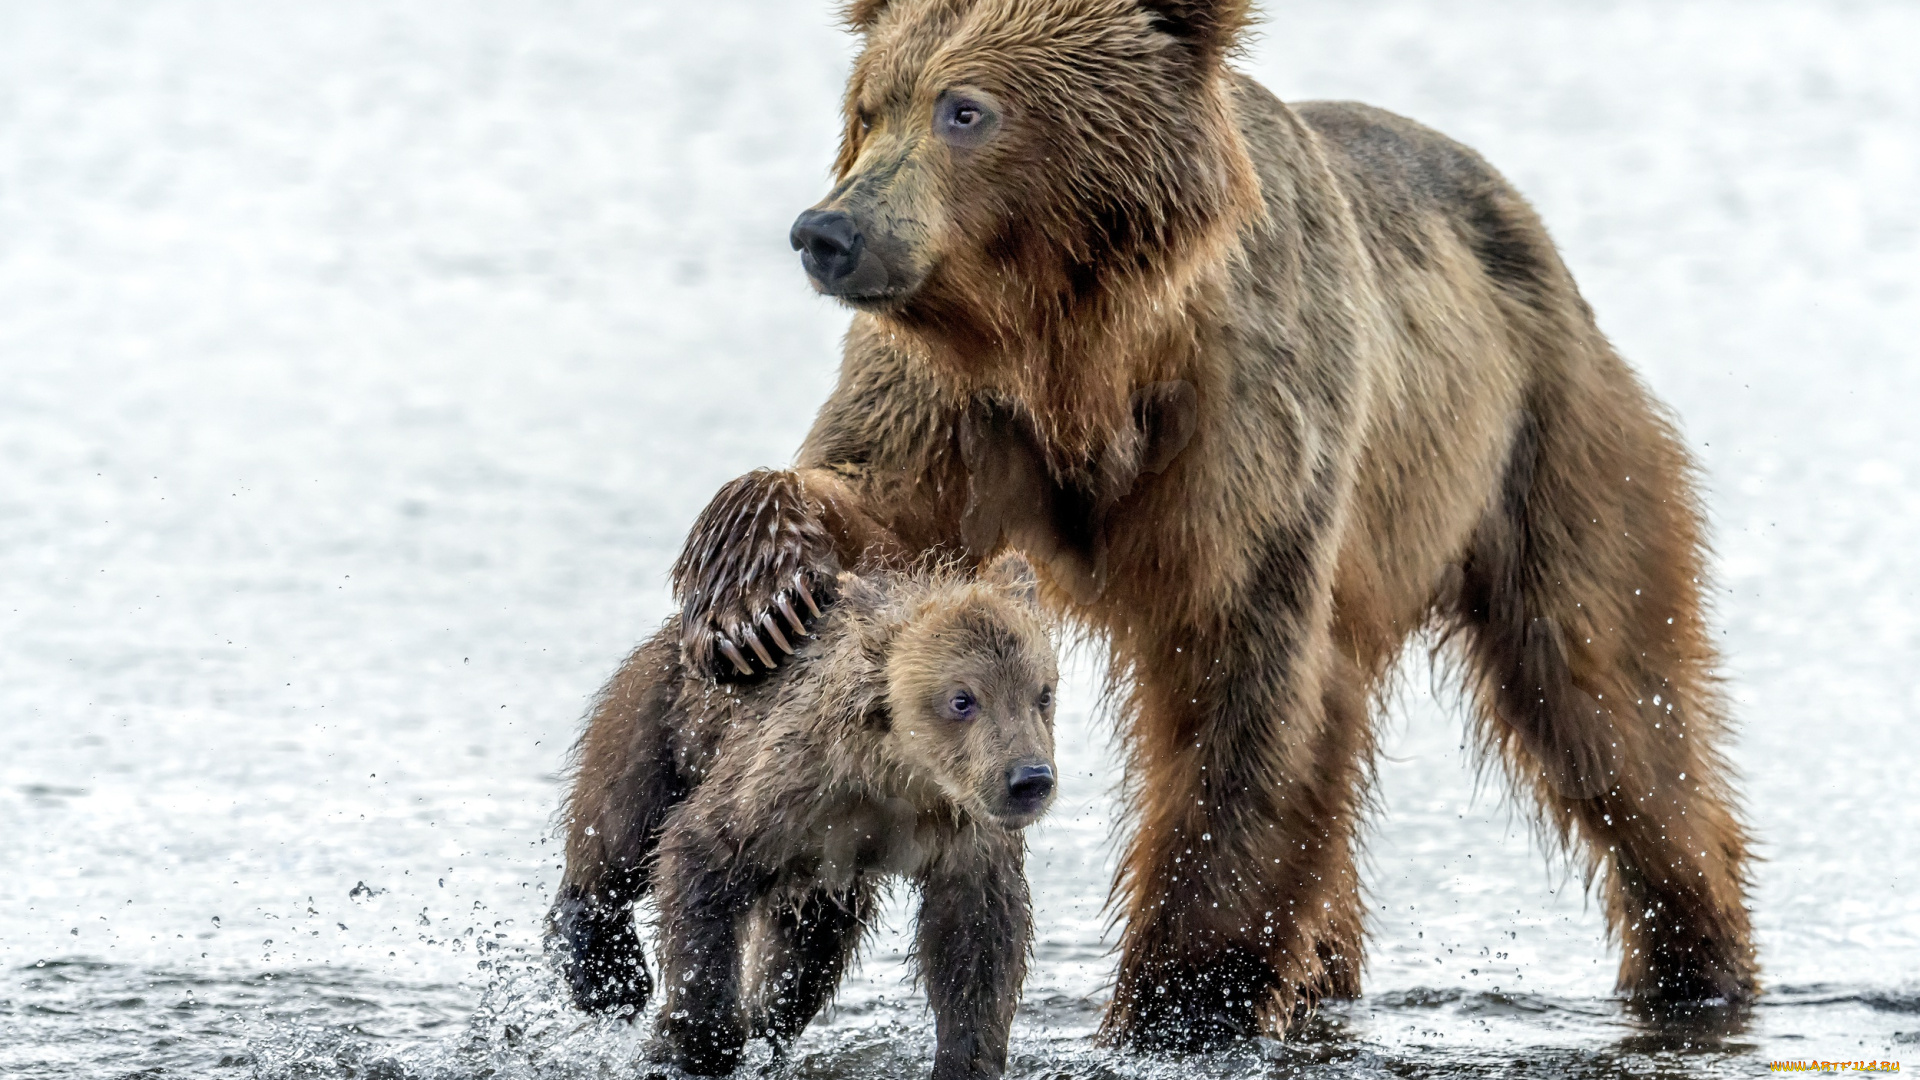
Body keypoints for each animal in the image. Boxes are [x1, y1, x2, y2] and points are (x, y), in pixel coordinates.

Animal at [587, 0, 1766, 1053]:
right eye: (869, 105)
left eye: (966, 108)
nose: (827, 232)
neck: (1082, 355)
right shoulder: (950, 406)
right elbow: (870, 507)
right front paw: (756, 591)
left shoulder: (1248, 422)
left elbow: (1239, 698)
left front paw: (1178, 1003)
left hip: (1547, 444)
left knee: (1612, 701)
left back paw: (1695, 957)